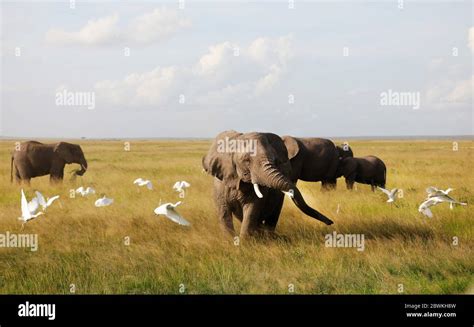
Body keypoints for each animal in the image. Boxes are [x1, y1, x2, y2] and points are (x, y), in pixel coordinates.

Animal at [201, 132, 334, 240]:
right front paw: (230, 241)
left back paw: (267, 238)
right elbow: (223, 211)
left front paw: (244, 243)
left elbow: (252, 209)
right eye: (246, 161)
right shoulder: (220, 185)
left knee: (273, 215)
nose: (330, 222)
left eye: (275, 161)